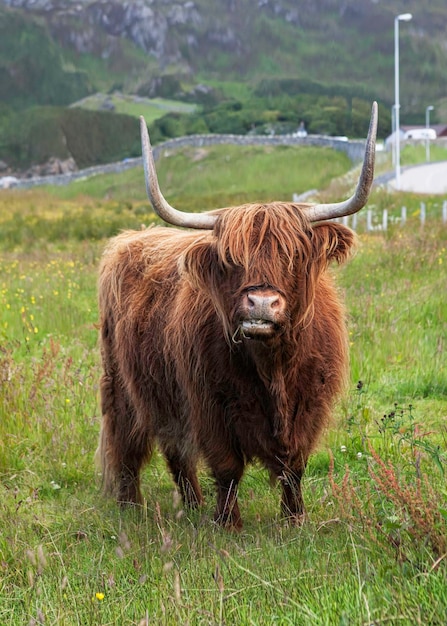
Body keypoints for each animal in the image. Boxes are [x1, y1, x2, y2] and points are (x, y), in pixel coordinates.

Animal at [98, 101, 378, 528]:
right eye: (232, 260)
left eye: (294, 256)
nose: (261, 304)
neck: (272, 367)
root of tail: (129, 239)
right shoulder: (209, 405)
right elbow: (227, 468)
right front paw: (228, 523)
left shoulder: (309, 406)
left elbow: (294, 468)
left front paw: (294, 519)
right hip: (123, 387)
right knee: (129, 447)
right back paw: (132, 507)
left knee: (175, 452)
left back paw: (193, 504)